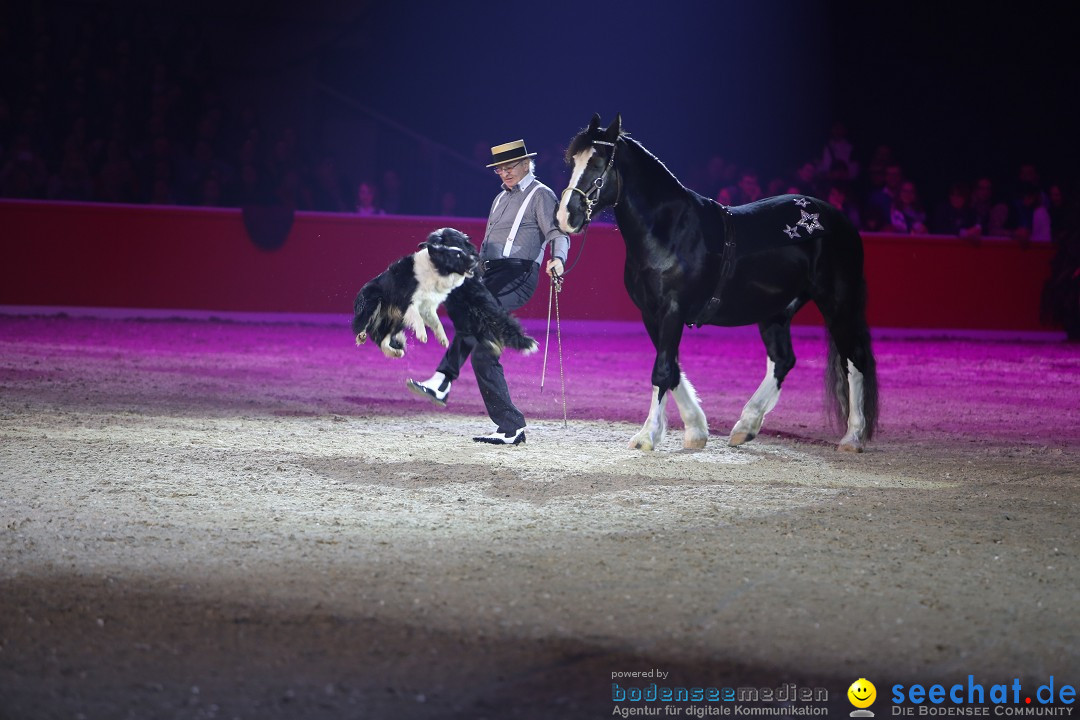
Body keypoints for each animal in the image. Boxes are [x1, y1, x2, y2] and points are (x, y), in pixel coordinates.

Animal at [352, 227, 537, 358]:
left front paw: (522, 342)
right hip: (376, 304)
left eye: (450, 242)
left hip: (398, 319)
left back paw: (394, 351)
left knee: (383, 337)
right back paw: (365, 336)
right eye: (437, 243)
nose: (435, 249)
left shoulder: (481, 302)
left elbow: (499, 320)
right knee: (369, 329)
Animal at [557, 113, 876, 453]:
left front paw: (646, 436)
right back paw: (745, 426)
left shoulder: (672, 310)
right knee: (783, 360)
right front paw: (696, 430)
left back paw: (852, 437)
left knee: (855, 360)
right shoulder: (651, 314)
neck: (670, 230)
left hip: (837, 304)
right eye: (574, 161)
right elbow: (672, 369)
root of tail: (840, 221)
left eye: (597, 162)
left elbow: (662, 370)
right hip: (776, 311)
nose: (566, 216)